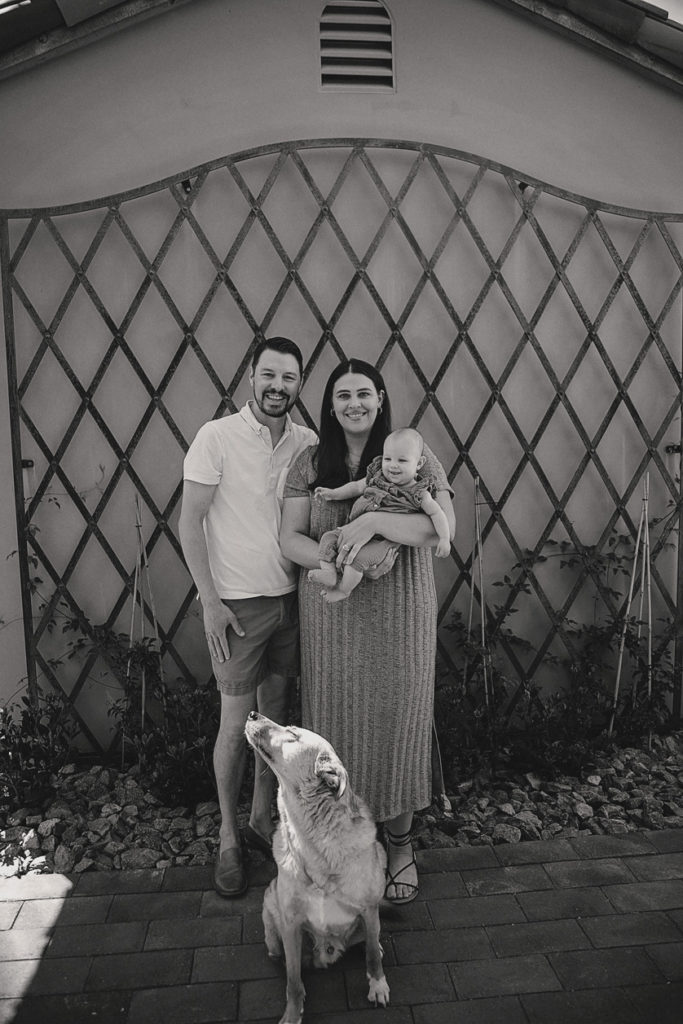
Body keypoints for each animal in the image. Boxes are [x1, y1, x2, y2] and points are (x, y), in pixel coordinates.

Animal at [245, 712, 389, 1024]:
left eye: (292, 735)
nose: (252, 714)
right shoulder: (290, 923)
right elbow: (293, 982)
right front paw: (292, 1013)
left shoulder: (369, 907)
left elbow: (372, 955)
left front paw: (378, 985)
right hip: (271, 908)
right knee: (279, 952)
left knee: (371, 939)